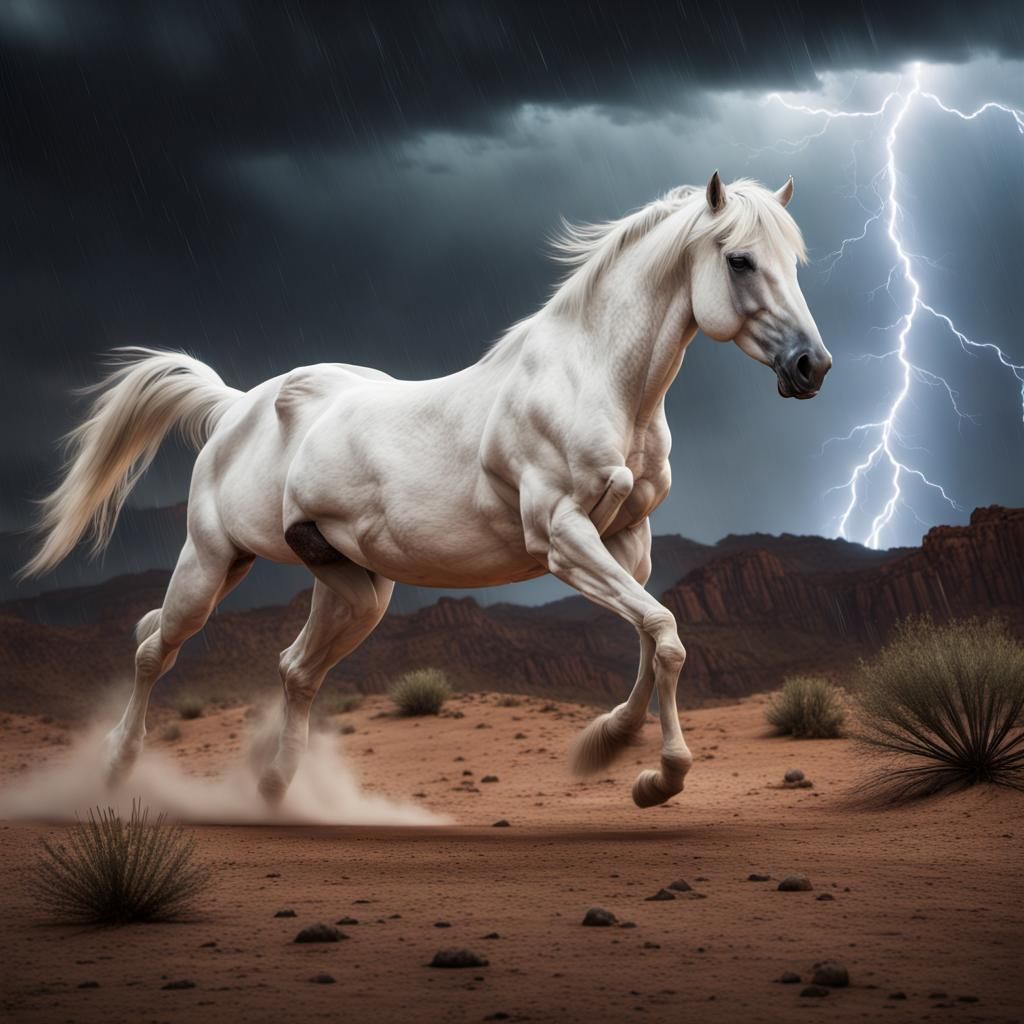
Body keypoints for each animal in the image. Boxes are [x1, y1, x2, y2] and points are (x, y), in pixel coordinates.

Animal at [22, 172, 830, 808]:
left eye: (796, 261)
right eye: (740, 259)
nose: (811, 367)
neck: (594, 382)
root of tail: (234, 407)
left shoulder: (628, 540)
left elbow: (652, 637)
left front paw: (616, 752)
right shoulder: (564, 539)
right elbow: (662, 632)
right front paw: (654, 774)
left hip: (355, 589)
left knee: (293, 669)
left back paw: (277, 791)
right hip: (212, 561)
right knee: (152, 647)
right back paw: (116, 769)